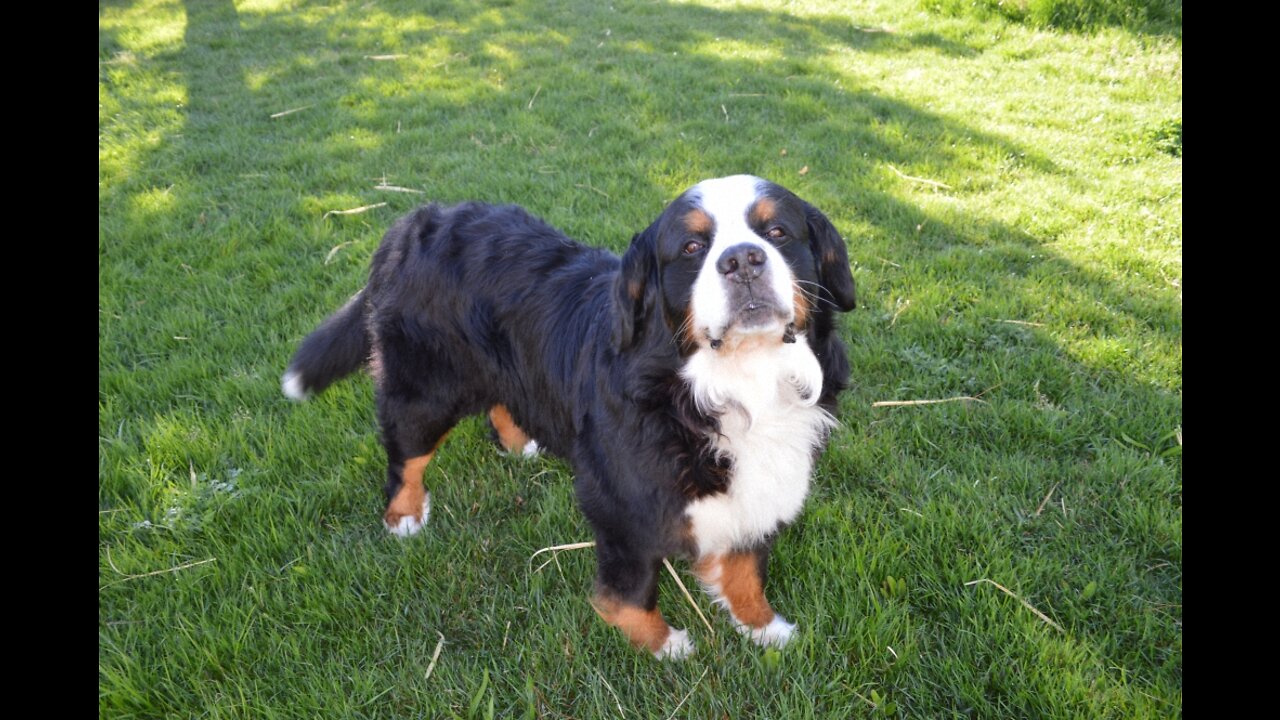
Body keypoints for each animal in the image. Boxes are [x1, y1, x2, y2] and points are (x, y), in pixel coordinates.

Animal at [285, 174, 855, 655]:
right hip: (426, 391)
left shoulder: (754, 491)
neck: (734, 382)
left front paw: (762, 627)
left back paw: (521, 445)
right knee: (405, 456)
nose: (742, 260)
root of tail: (418, 221)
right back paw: (404, 515)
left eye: (777, 232)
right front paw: (663, 645)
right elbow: (624, 597)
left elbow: (745, 569)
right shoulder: (624, 508)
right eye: (693, 247)